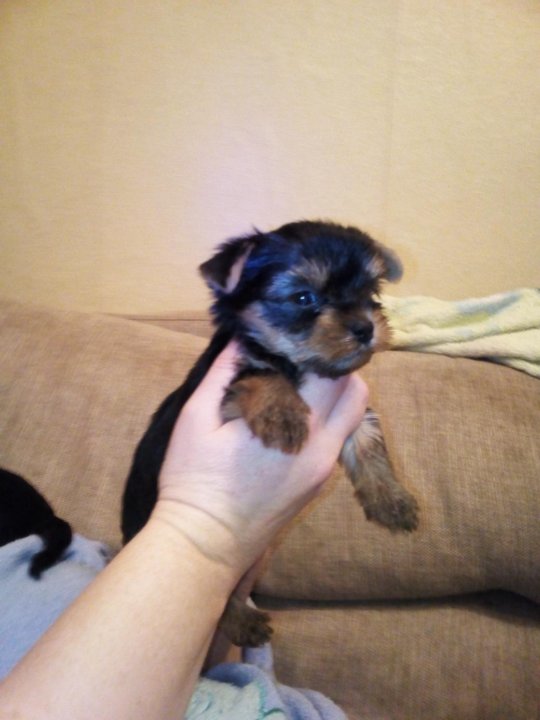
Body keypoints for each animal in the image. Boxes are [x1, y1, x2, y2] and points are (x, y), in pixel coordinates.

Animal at [121, 220, 419, 646]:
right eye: (303, 297)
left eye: (370, 293)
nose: (365, 328)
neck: (305, 368)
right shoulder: (228, 389)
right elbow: (263, 372)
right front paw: (284, 415)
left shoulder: (354, 409)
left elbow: (370, 441)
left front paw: (391, 498)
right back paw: (242, 621)